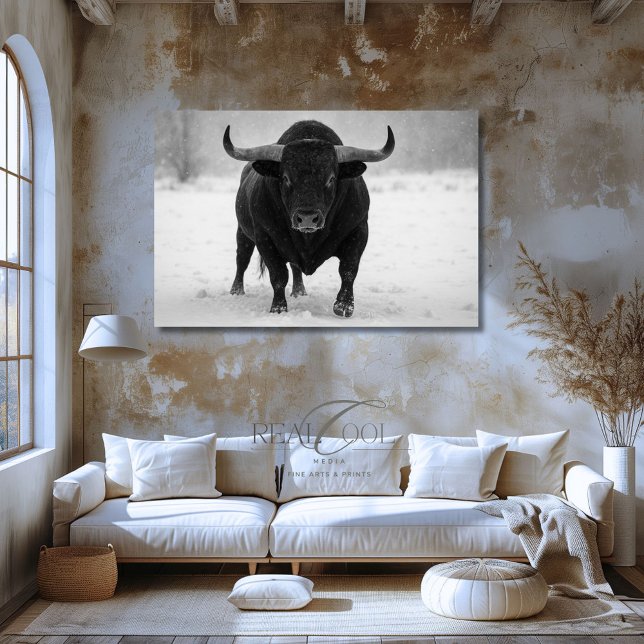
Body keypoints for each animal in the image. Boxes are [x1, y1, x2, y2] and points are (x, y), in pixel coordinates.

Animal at [223, 120, 395, 317]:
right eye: (286, 177)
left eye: (331, 178)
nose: (307, 218)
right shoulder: (265, 237)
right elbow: (278, 274)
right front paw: (278, 308)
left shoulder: (358, 230)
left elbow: (348, 270)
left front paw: (344, 306)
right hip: (243, 233)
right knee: (242, 259)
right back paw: (236, 291)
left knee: (295, 267)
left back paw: (299, 291)